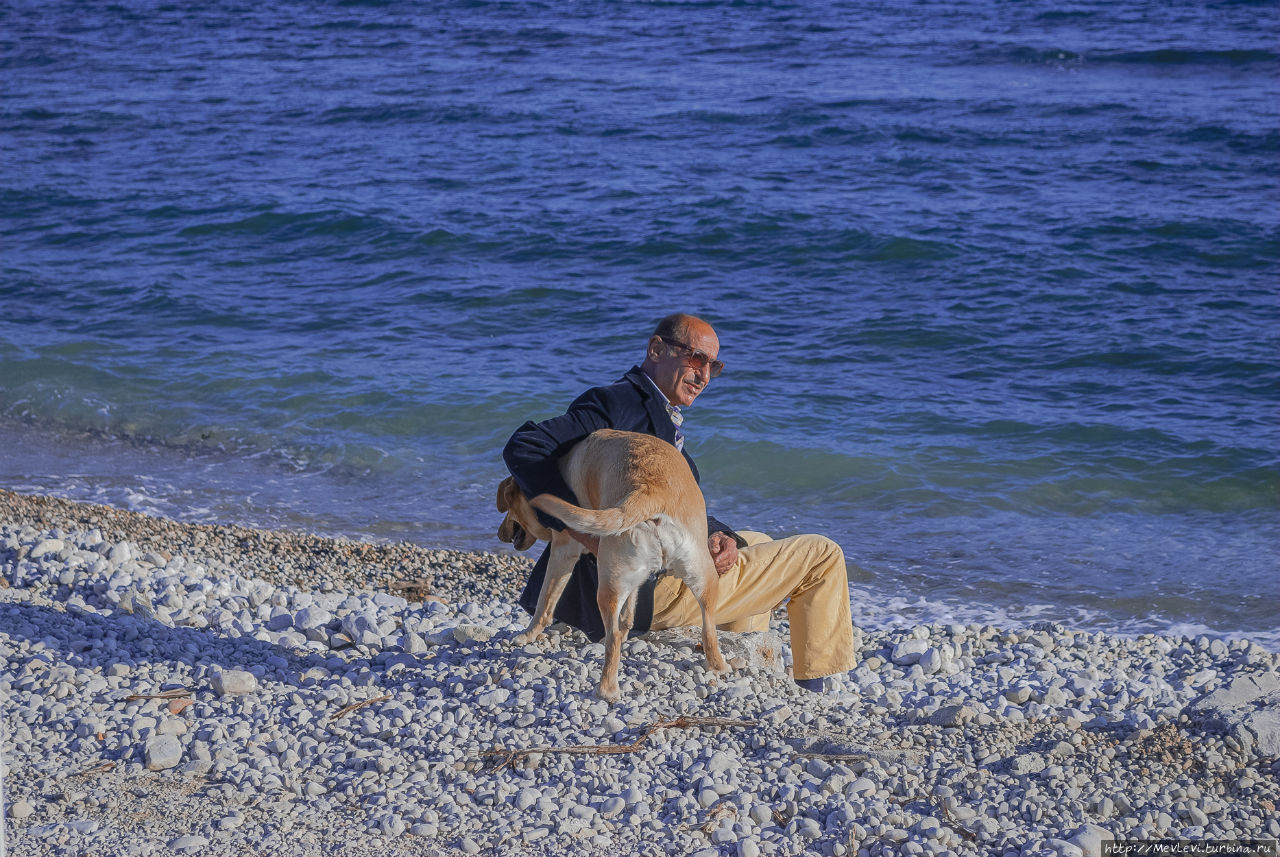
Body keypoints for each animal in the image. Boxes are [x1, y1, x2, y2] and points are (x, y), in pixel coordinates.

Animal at [494, 429, 727, 706]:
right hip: (701, 578)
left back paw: (607, 689)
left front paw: (528, 634)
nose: (499, 533)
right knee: (709, 628)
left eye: (508, 508)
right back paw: (718, 666)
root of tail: (651, 493)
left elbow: (544, 603)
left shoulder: (563, 550)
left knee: (612, 639)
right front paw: (627, 625)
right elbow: (628, 612)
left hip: (607, 587)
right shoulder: (631, 579)